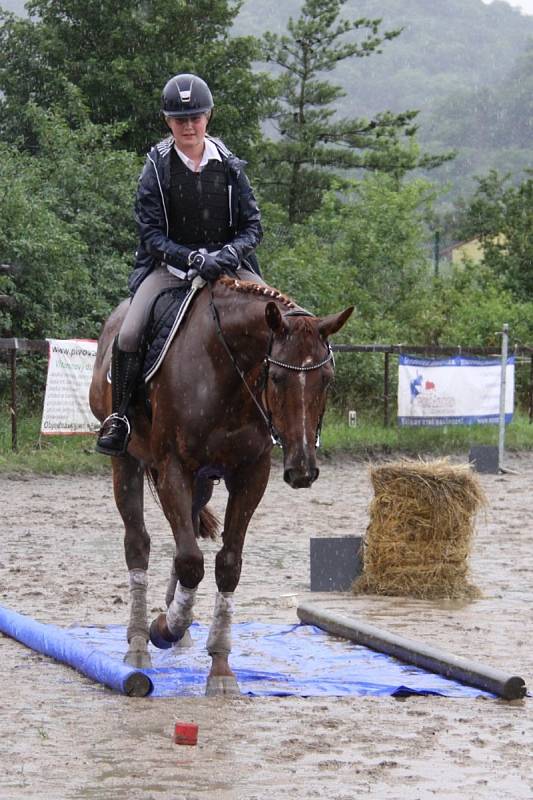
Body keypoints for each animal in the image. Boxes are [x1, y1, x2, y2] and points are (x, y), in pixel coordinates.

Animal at [89, 270, 352, 692]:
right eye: (277, 377)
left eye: (326, 379)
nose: (302, 469)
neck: (226, 369)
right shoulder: (174, 468)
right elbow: (191, 562)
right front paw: (164, 628)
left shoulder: (251, 475)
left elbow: (226, 564)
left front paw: (221, 665)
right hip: (127, 460)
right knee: (139, 543)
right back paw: (139, 642)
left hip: (202, 481)